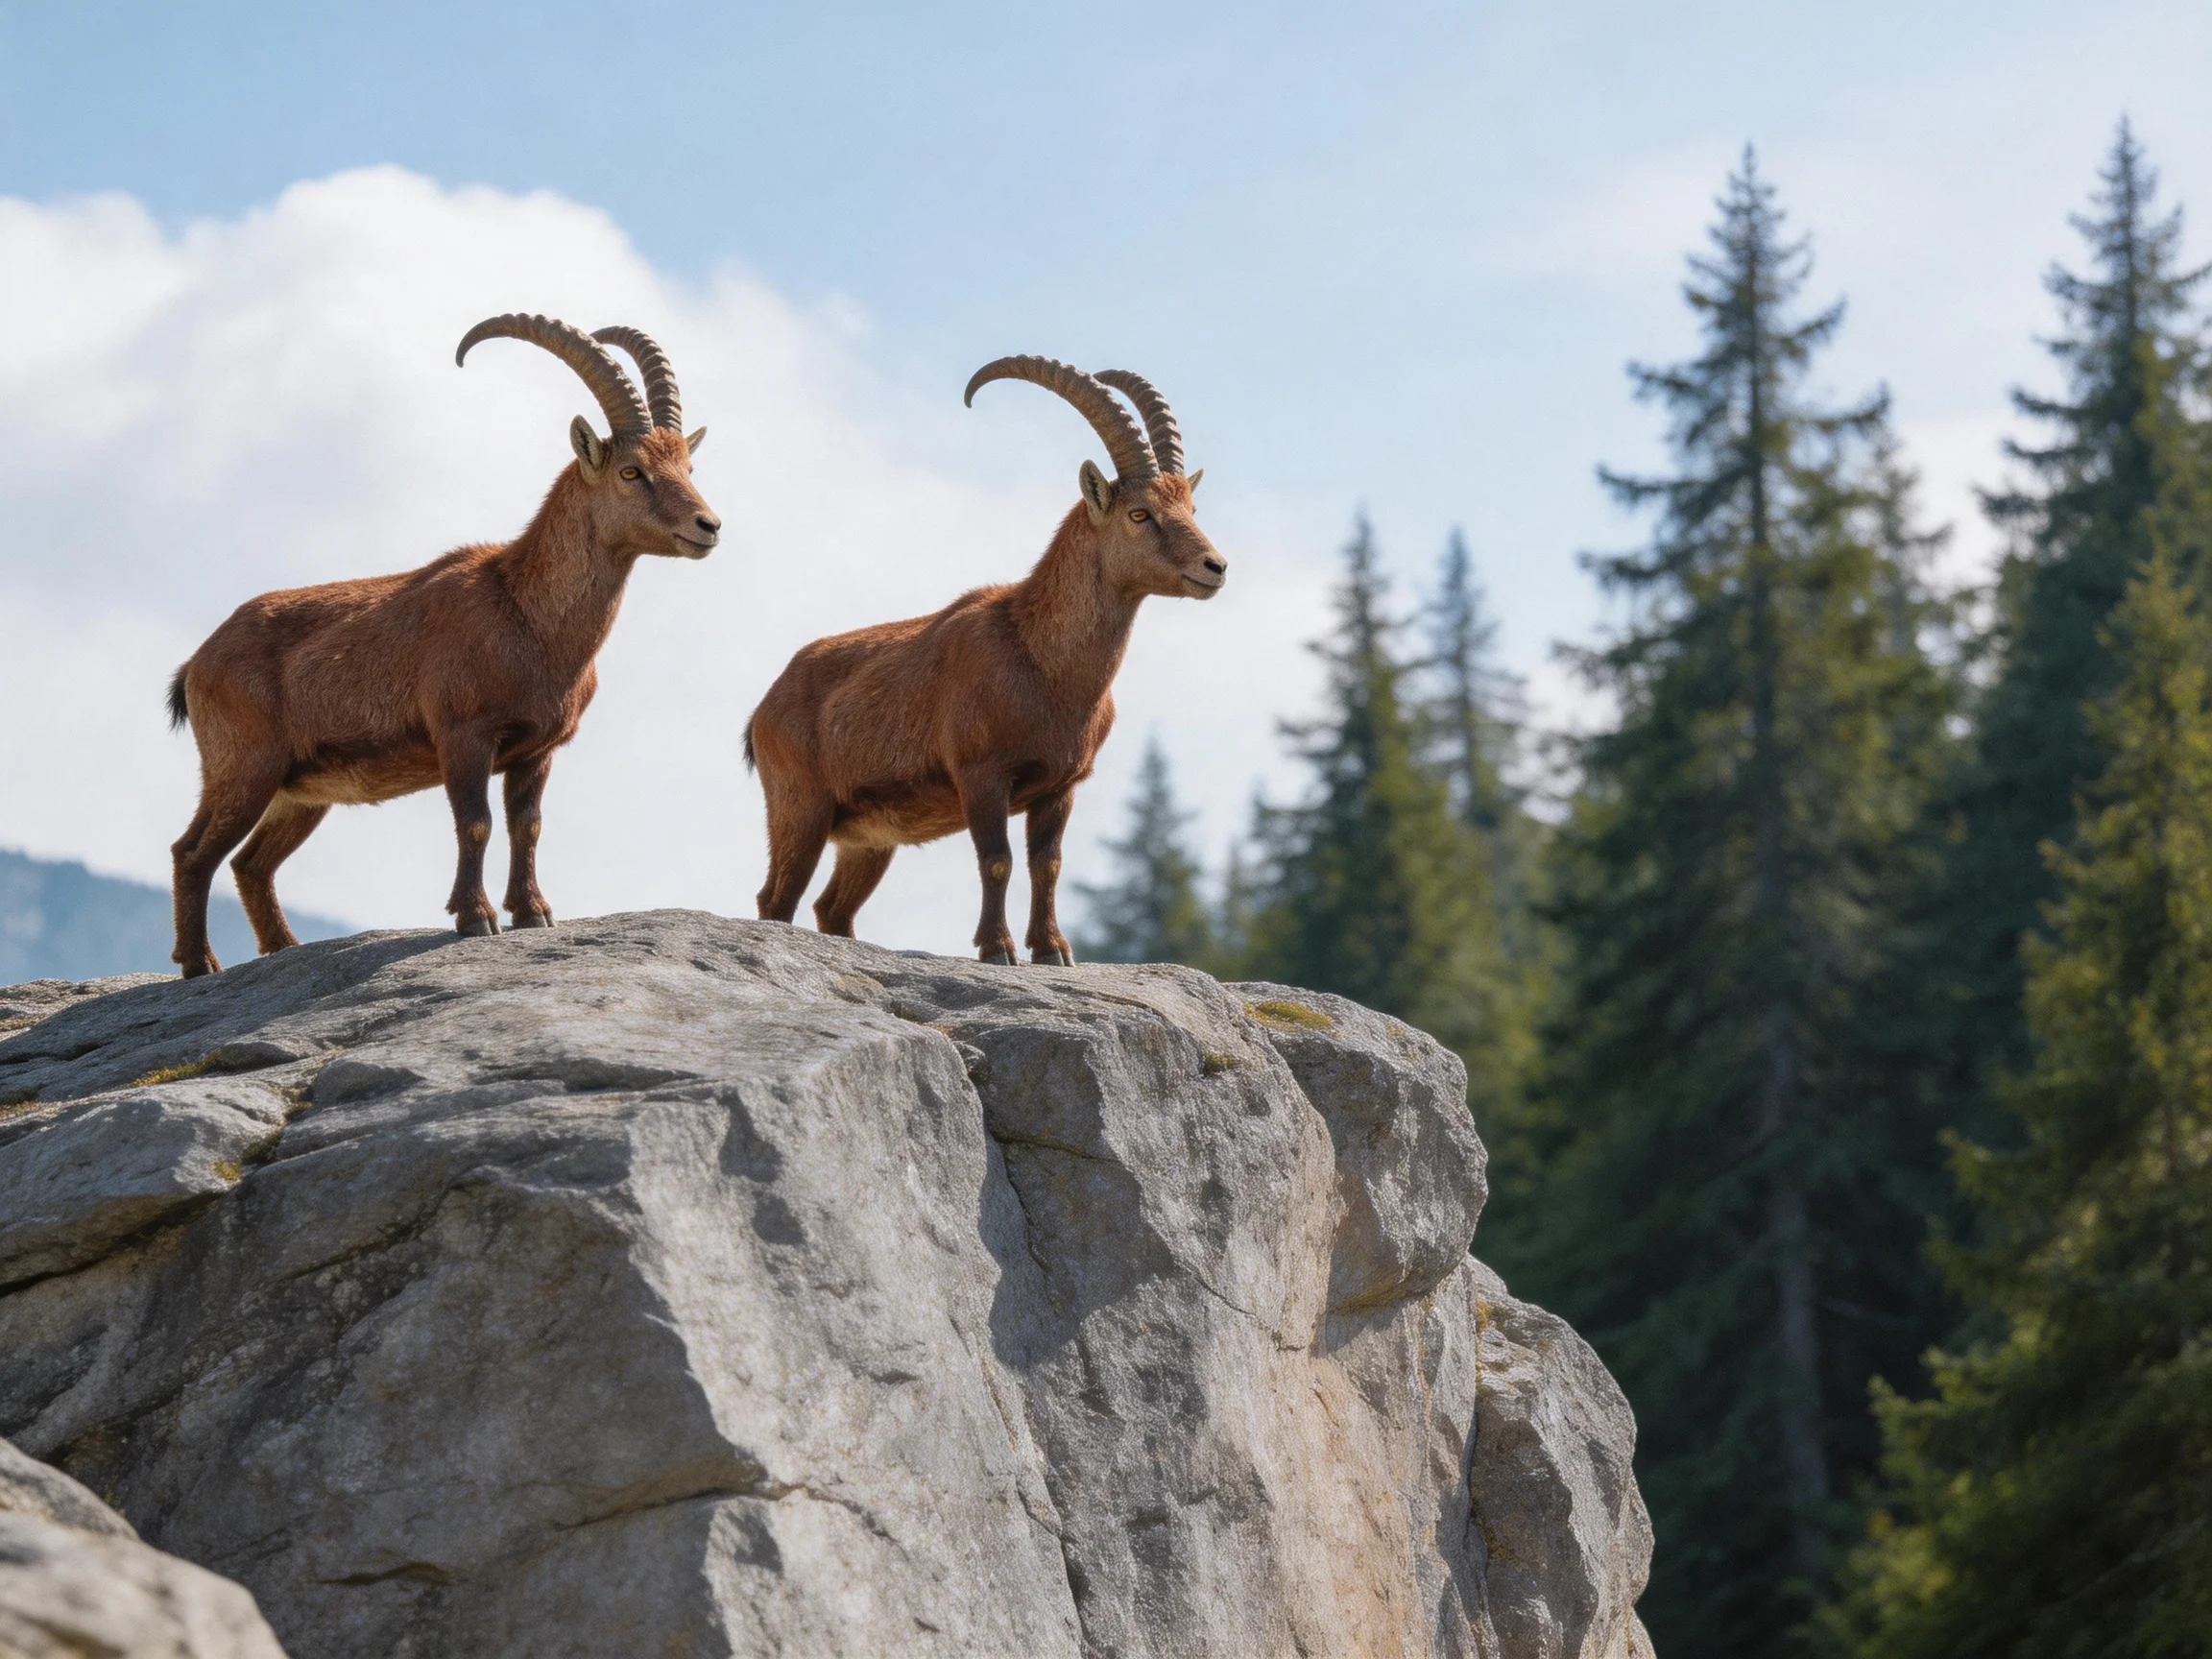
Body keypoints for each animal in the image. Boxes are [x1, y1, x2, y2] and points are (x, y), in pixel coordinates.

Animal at [165, 314, 721, 978]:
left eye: (689, 466)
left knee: (250, 863)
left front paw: (533, 912)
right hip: (243, 766)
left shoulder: (537, 750)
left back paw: (283, 950)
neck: (526, 614)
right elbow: (476, 823)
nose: (708, 526)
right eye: (631, 471)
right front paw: (474, 918)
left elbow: (528, 826)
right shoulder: (462, 734)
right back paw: (200, 965)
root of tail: (197, 662)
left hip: (299, 791)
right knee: (192, 851)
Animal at [747, 355, 1226, 963]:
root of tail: (764, 706)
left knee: (832, 907)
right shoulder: (981, 774)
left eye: (1190, 507)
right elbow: (997, 860)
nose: (1215, 567)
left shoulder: (1060, 787)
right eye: (1140, 514)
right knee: (775, 898)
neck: (1044, 662)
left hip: (870, 839)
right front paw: (997, 949)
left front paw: (1052, 950)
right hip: (799, 807)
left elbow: (1048, 863)